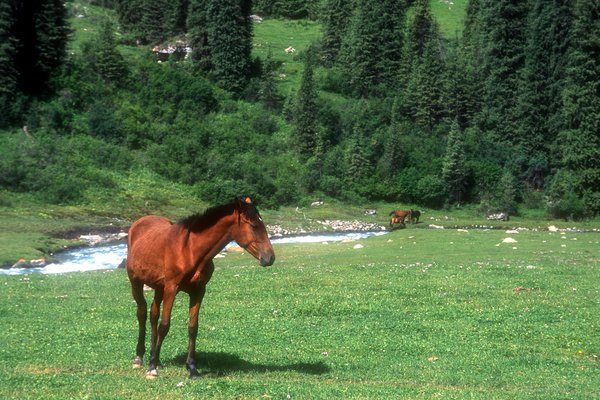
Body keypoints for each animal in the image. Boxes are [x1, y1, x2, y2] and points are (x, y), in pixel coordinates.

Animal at [128, 197, 276, 378]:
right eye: (254, 225)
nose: (270, 257)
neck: (189, 249)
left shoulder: (198, 291)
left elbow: (193, 327)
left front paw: (192, 368)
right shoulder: (171, 288)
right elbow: (165, 325)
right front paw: (152, 368)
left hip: (158, 288)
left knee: (153, 315)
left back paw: (156, 358)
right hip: (136, 283)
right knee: (142, 313)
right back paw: (139, 358)